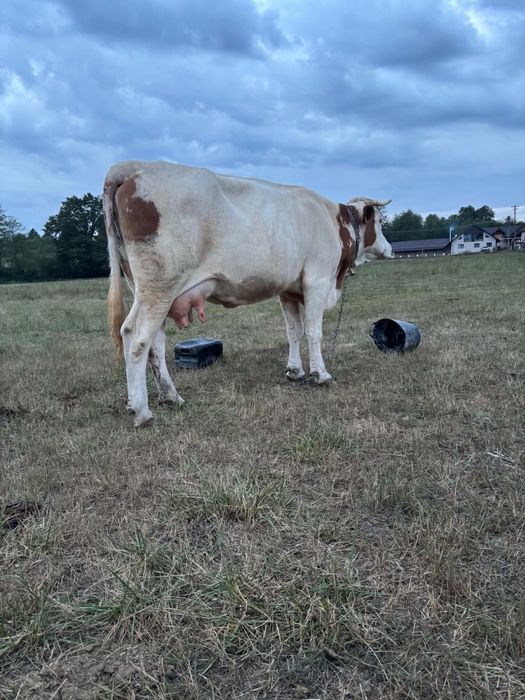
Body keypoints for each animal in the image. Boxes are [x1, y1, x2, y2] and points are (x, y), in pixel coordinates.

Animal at [104, 160, 392, 426]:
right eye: (379, 221)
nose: (390, 249)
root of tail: (132, 167)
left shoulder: (288, 290)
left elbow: (294, 331)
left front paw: (295, 370)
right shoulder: (317, 281)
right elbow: (313, 331)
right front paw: (320, 374)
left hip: (145, 289)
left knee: (148, 340)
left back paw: (166, 397)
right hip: (159, 287)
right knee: (139, 339)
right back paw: (143, 411)